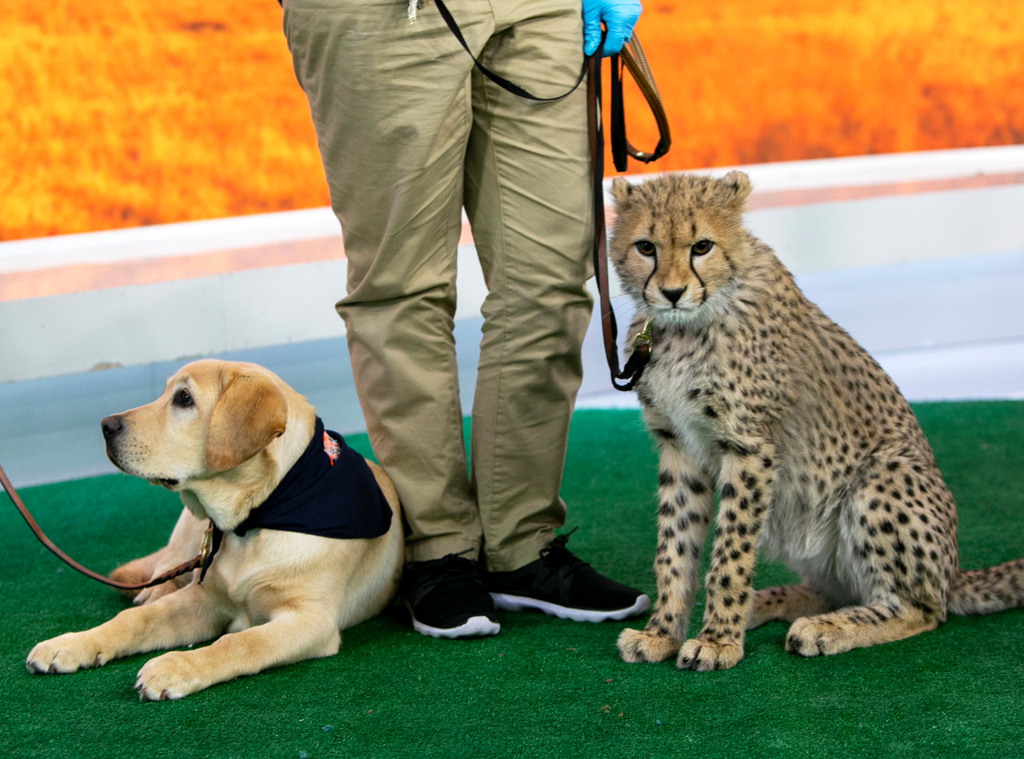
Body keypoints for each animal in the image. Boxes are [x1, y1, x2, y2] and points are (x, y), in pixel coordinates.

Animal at [25, 360, 401, 700]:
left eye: (184, 398)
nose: (106, 425)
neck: (257, 517)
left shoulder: (311, 620)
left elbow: (241, 642)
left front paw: (175, 667)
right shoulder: (204, 598)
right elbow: (136, 619)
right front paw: (73, 643)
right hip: (190, 532)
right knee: (165, 570)